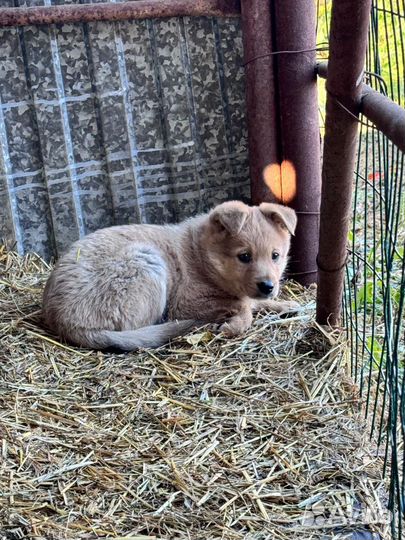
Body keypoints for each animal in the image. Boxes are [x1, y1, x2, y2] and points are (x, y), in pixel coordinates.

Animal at [42, 200, 298, 348]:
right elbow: (243, 306)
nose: (268, 286)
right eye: (244, 256)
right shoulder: (186, 303)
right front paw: (233, 325)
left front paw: (285, 305)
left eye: (276, 255)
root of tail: (64, 320)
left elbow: (250, 302)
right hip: (147, 262)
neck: (202, 255)